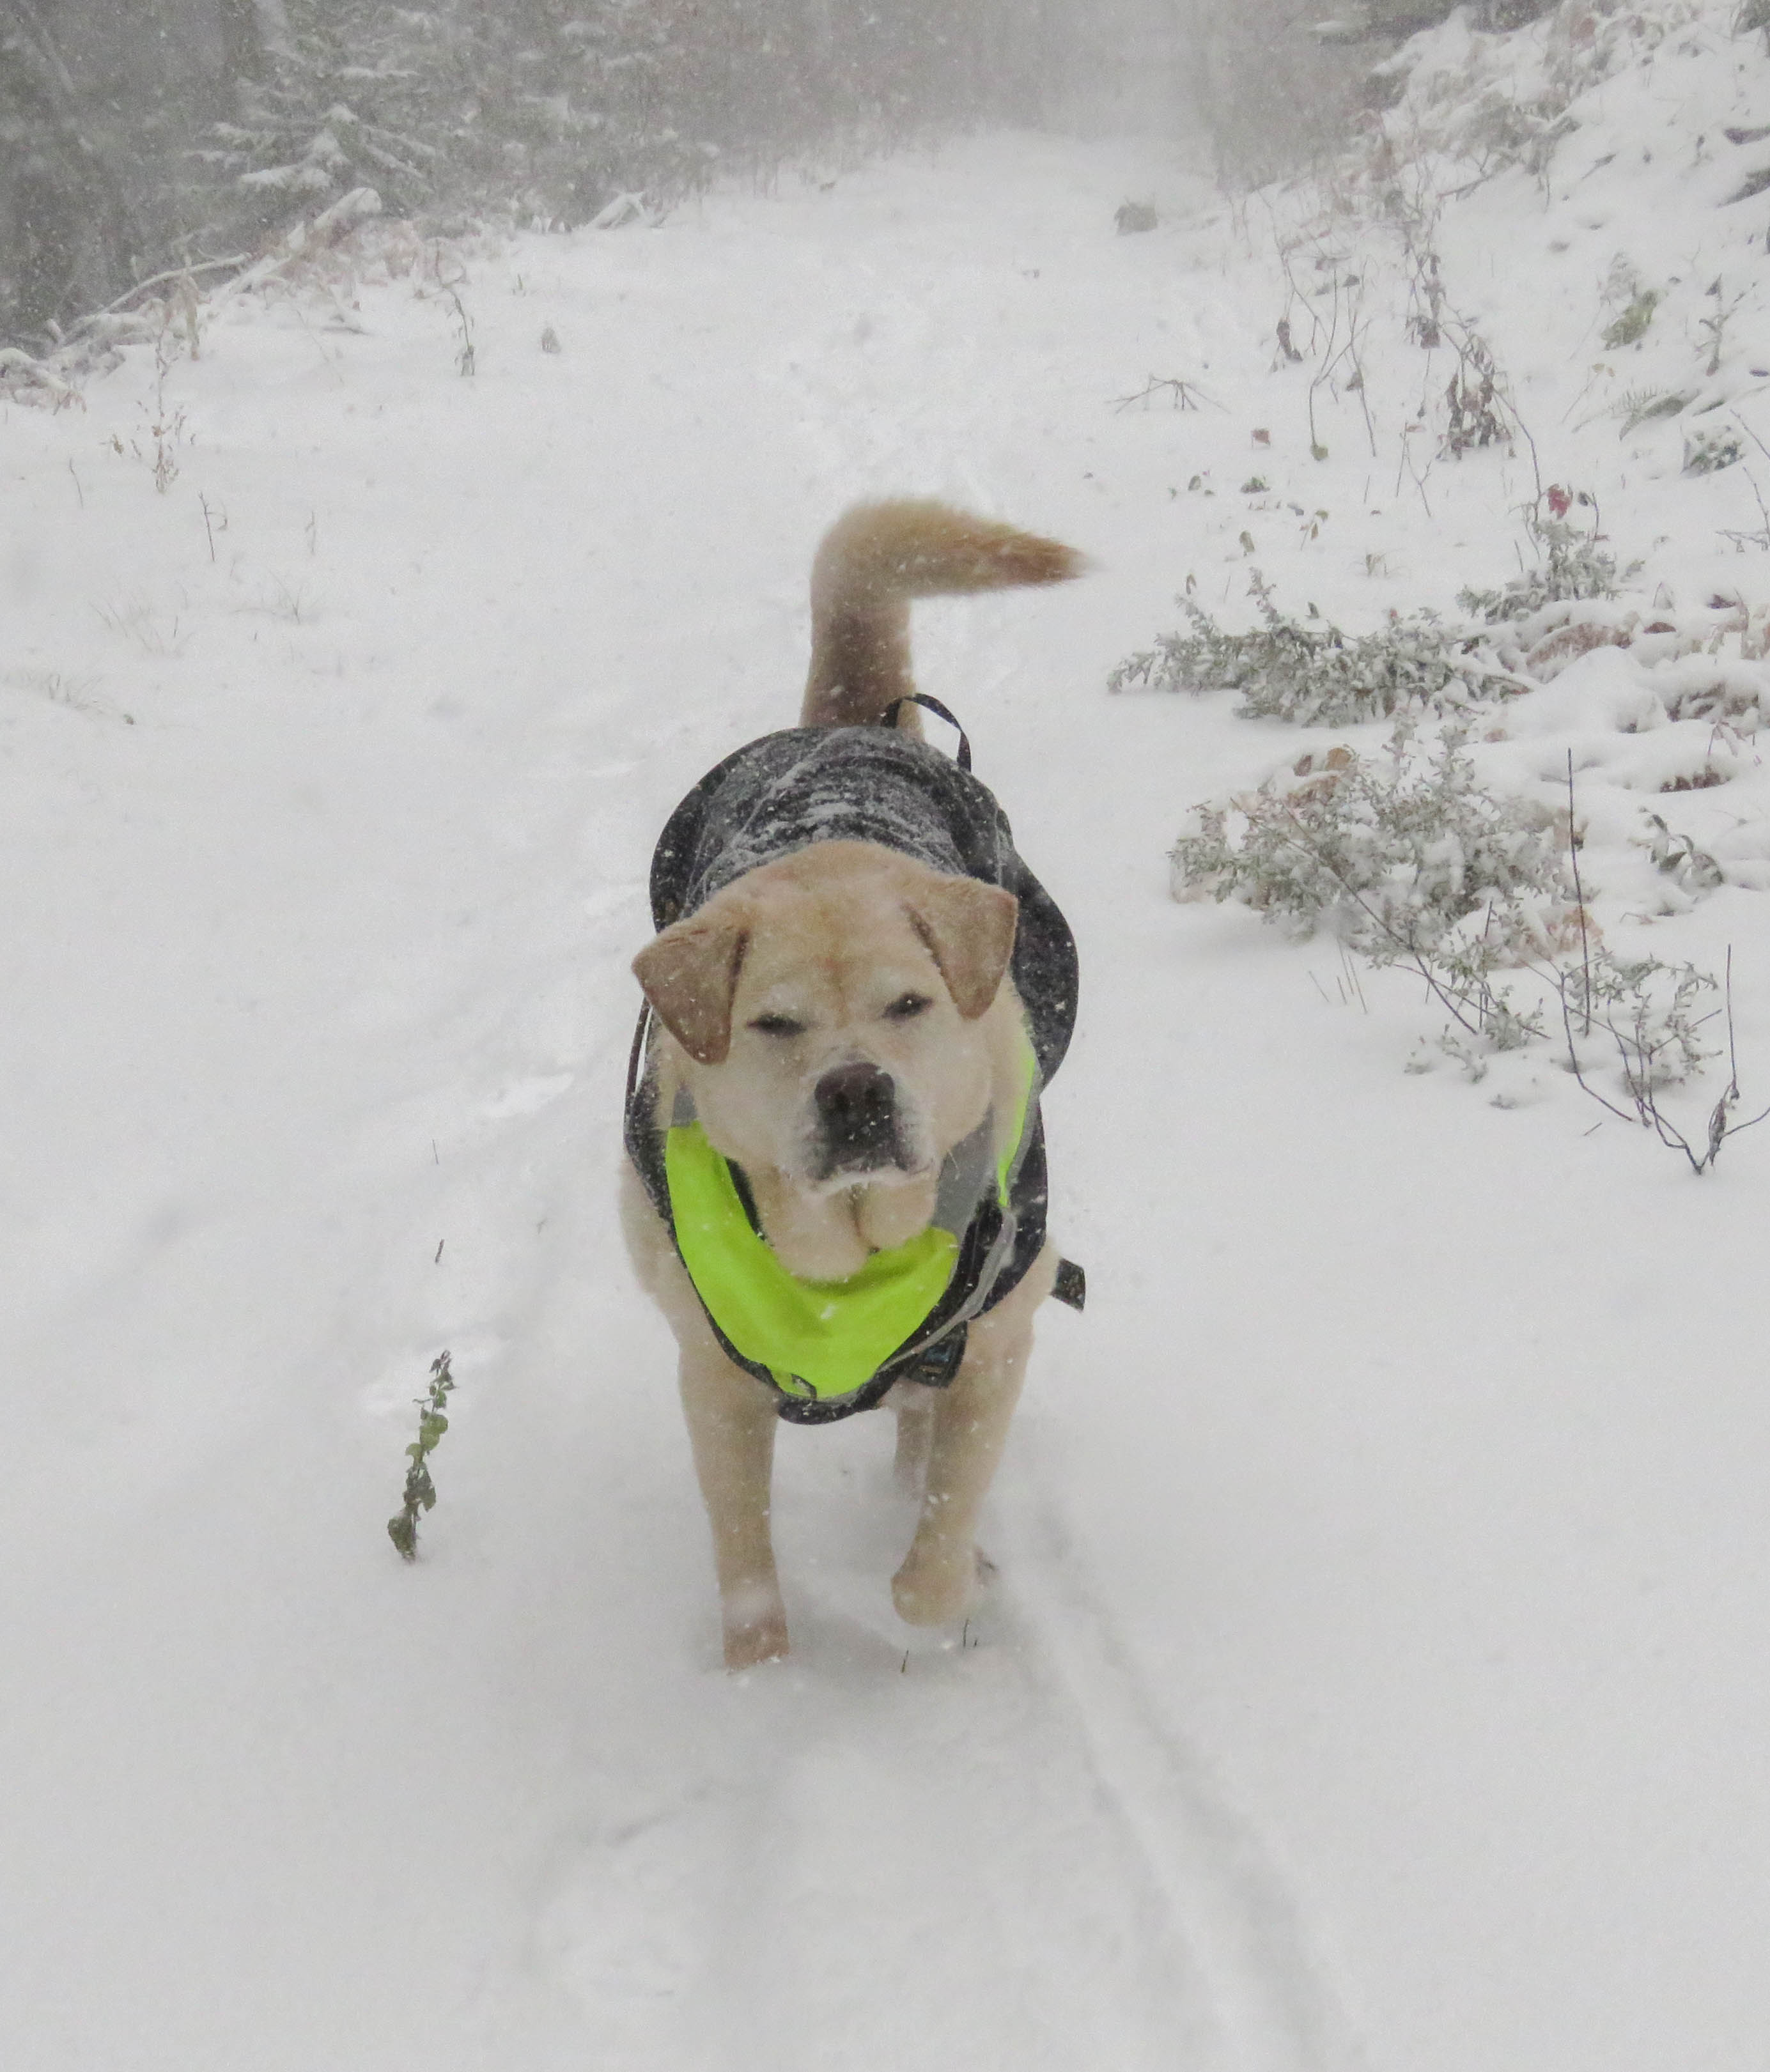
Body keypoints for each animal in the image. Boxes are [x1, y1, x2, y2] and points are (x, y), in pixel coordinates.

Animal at [622, 500, 1084, 1669]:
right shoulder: (713, 1378)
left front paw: (947, 1591)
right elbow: (745, 1561)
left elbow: (936, 1546)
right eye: (775, 1023)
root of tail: (854, 724)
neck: (849, 1251)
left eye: (908, 1005)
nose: (856, 1093)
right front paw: (761, 1682)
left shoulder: (996, 1345)